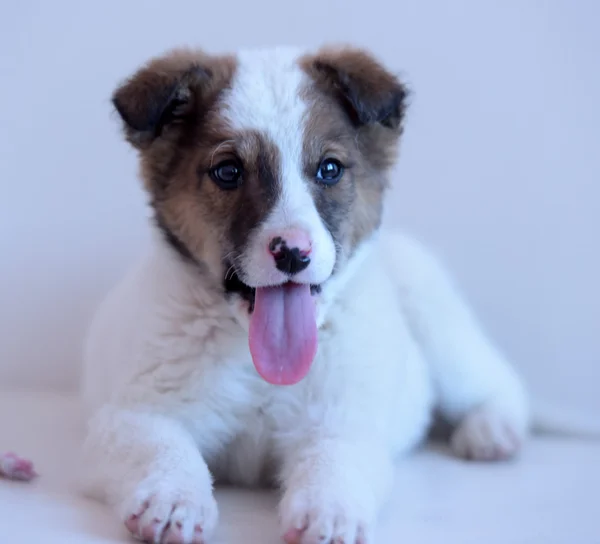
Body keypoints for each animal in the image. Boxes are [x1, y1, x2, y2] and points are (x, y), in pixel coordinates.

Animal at [81, 45, 528, 544]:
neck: (256, 362)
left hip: (439, 324)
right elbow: (164, 450)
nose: (293, 253)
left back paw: (493, 429)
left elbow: (332, 463)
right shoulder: (134, 415)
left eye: (329, 169)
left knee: (496, 380)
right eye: (228, 171)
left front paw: (329, 512)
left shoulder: (341, 423)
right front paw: (173, 499)